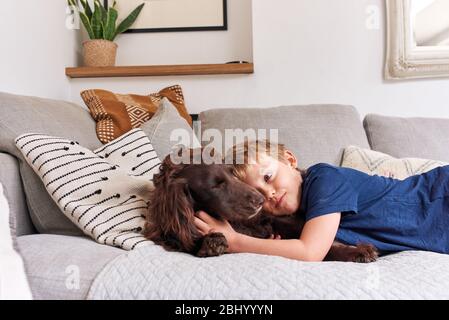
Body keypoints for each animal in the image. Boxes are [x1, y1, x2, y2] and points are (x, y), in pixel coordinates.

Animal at [144, 150, 378, 262]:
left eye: (231, 173)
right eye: (216, 185)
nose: (260, 200)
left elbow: (322, 246)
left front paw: (357, 251)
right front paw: (209, 242)